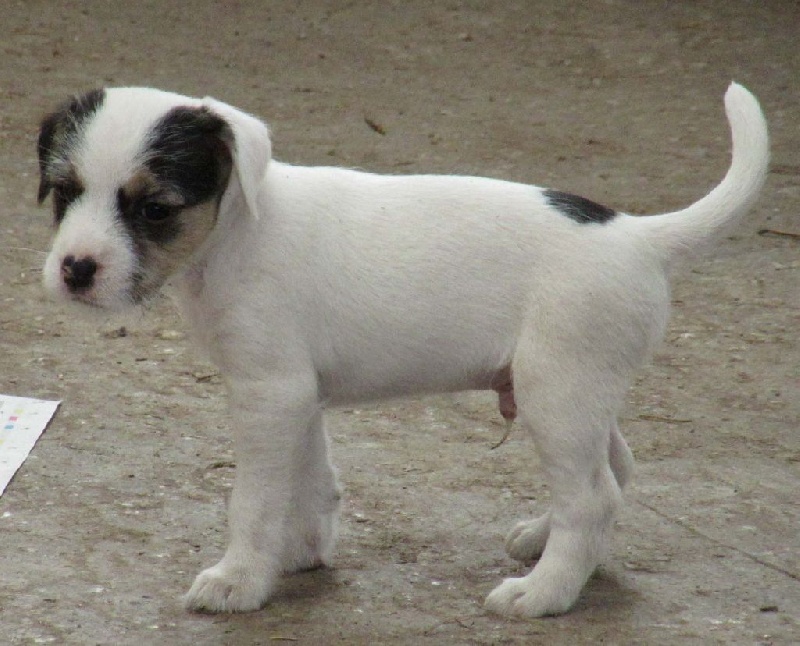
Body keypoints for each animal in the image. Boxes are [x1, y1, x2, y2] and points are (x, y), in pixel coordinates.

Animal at [37, 83, 768, 620]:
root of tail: (642, 236)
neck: (241, 227)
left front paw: (241, 578)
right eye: (65, 192)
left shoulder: (270, 394)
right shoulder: (296, 396)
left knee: (593, 497)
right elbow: (311, 480)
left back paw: (543, 592)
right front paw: (302, 551)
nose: (75, 269)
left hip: (556, 396)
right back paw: (544, 541)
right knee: (613, 469)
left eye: (155, 208)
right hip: (576, 394)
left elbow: (256, 499)